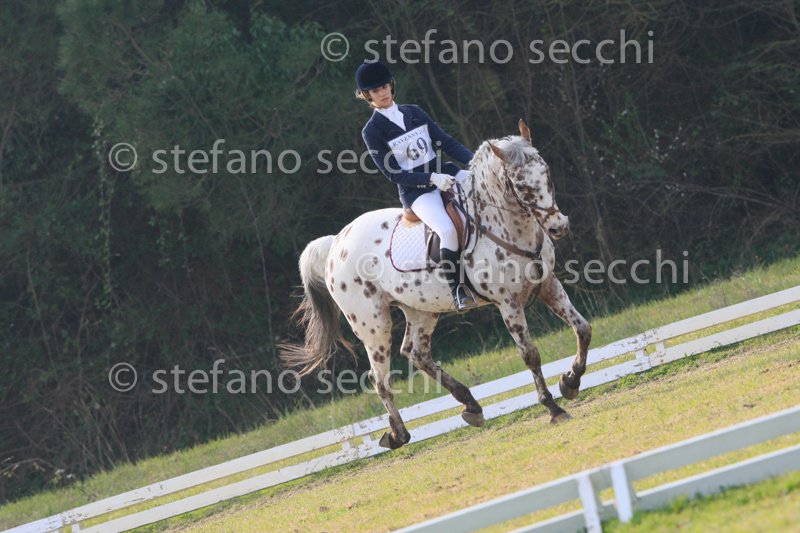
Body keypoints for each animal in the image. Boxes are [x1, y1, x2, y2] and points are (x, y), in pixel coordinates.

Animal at [282, 120, 591, 449]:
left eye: (547, 174)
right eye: (521, 186)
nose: (559, 227)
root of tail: (336, 241)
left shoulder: (548, 284)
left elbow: (582, 328)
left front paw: (570, 382)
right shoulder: (508, 303)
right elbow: (530, 354)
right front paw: (554, 408)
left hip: (421, 309)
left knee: (415, 353)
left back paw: (471, 406)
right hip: (372, 324)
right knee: (380, 380)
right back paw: (398, 435)